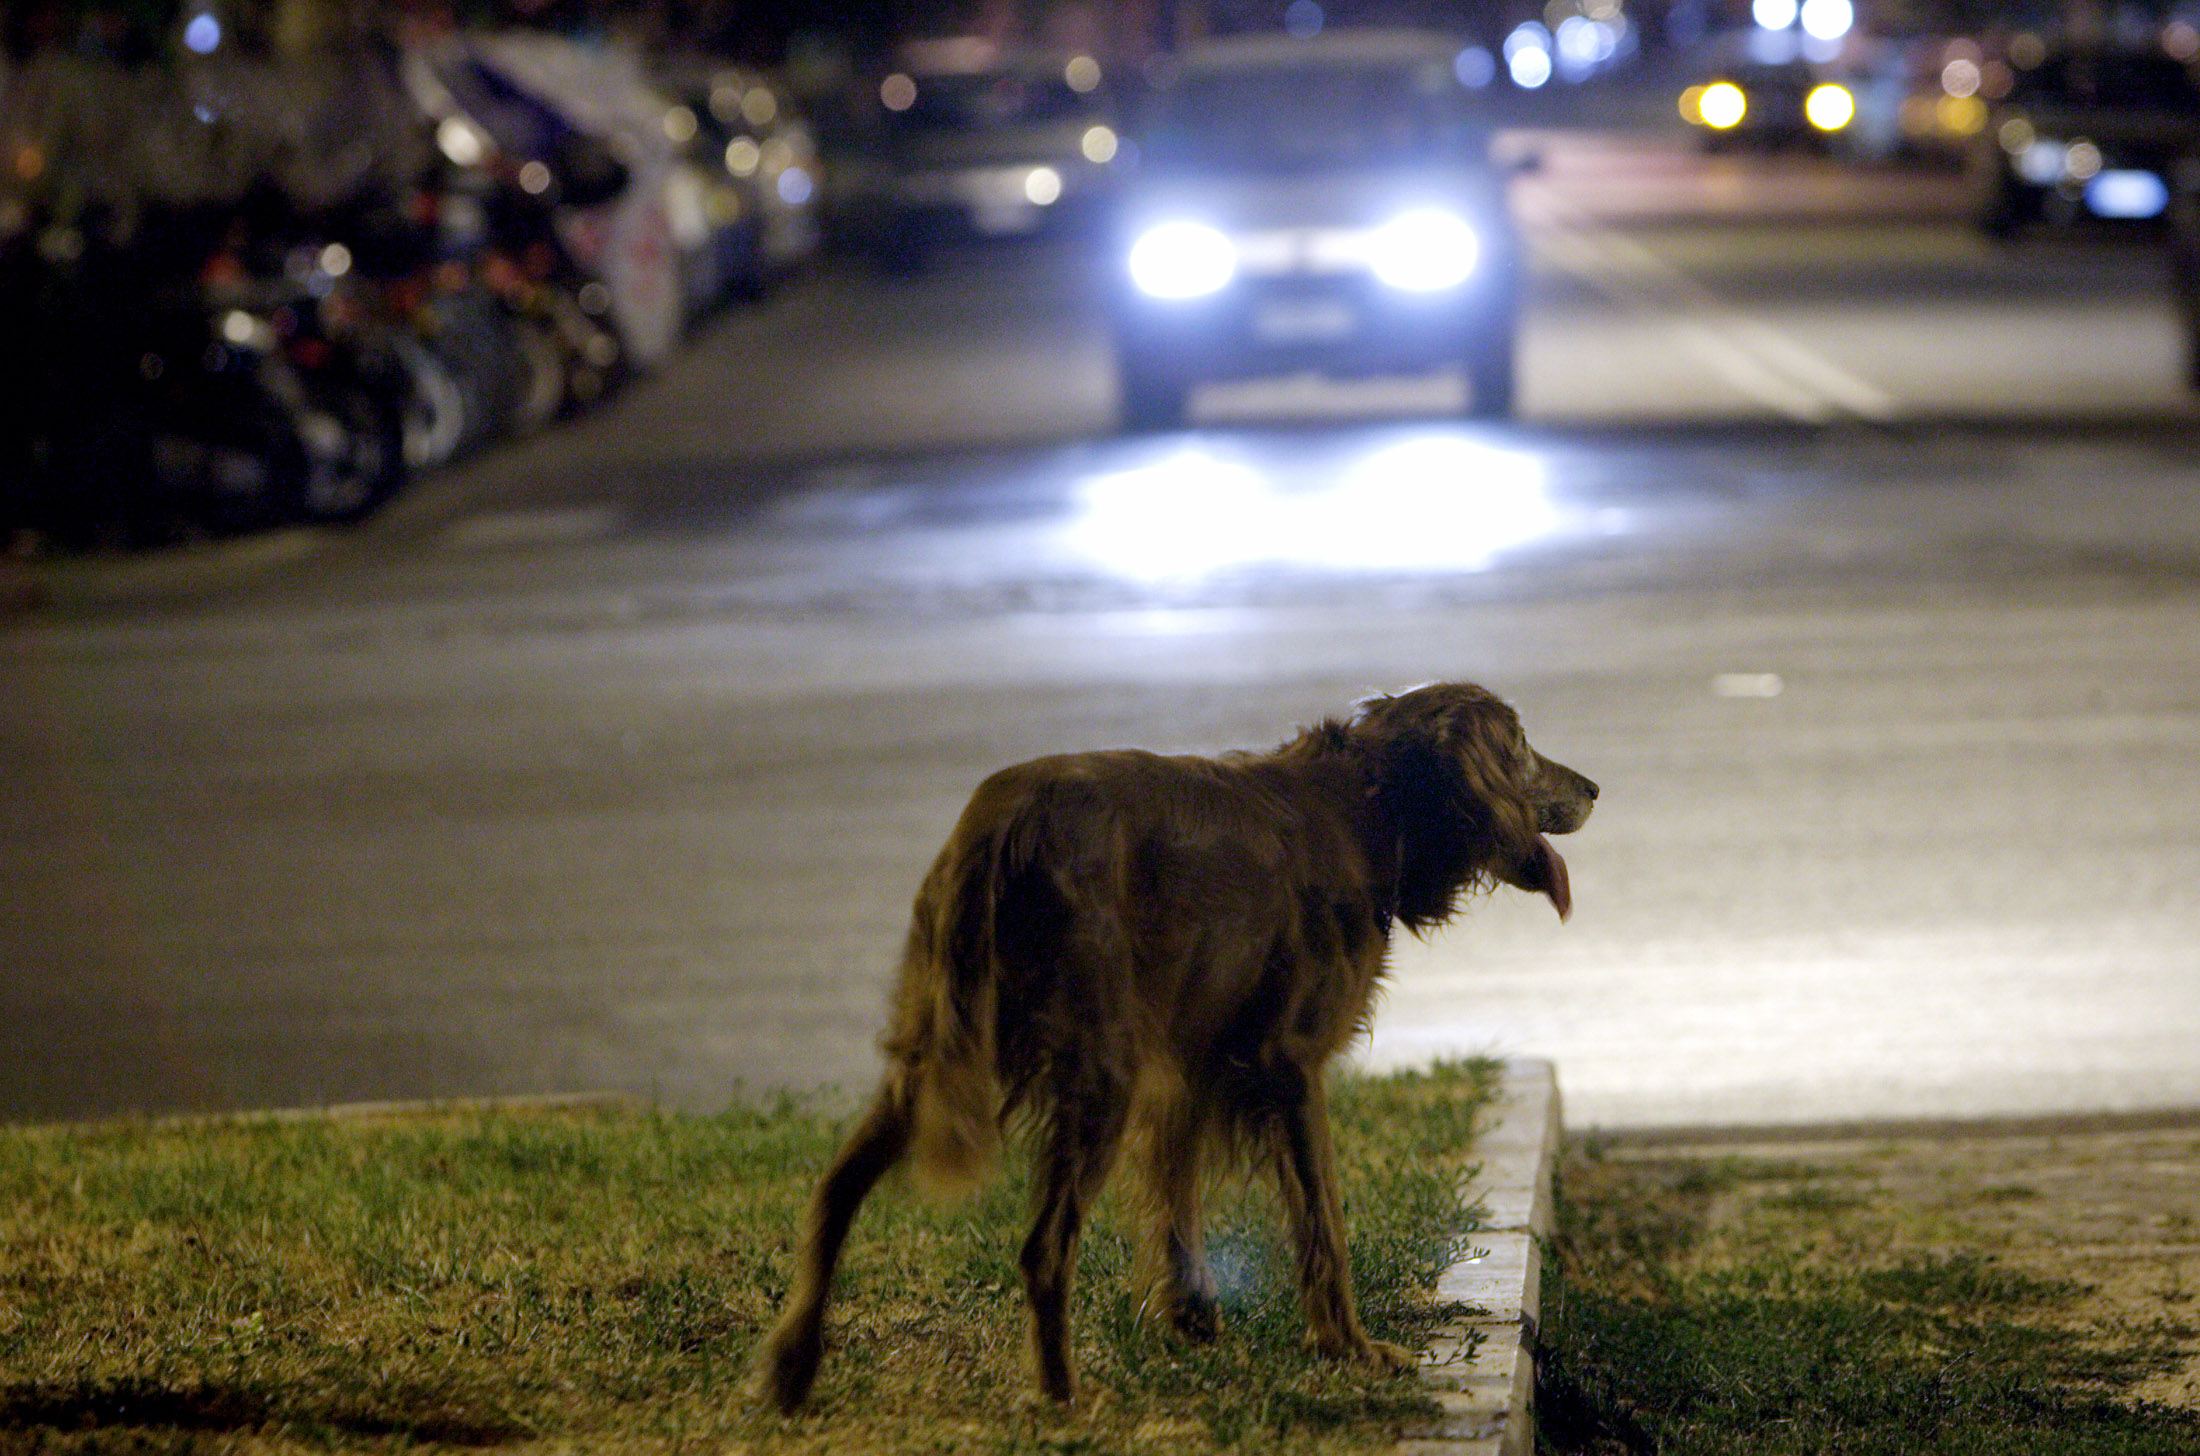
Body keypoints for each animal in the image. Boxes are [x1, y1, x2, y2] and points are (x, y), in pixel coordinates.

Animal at [756, 686, 1601, 1416]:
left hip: (934, 1057)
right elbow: (1322, 1221)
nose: (1594, 788)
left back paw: (792, 1368)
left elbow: (1176, 1195)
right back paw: (1062, 1396)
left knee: (834, 1191)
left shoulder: (1190, 1061)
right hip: (1099, 1074)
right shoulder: (1289, 1065)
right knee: (1042, 1248)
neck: (1370, 804)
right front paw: (1351, 1348)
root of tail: (1002, 818)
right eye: (1521, 745)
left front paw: (1193, 1318)